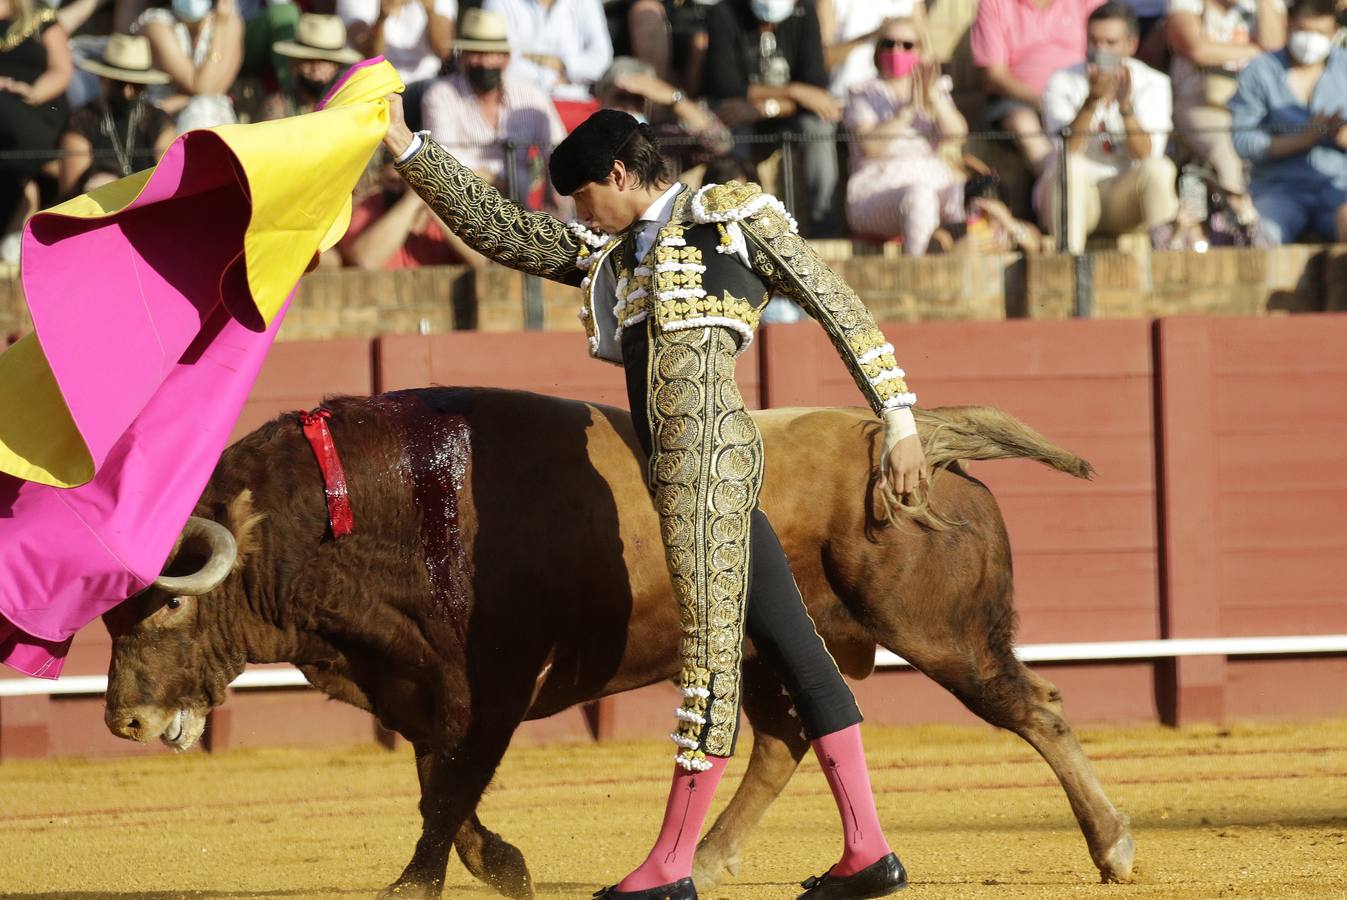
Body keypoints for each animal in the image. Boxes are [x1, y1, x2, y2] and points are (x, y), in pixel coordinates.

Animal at [102, 388, 1136, 900]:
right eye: (111, 613)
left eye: (166, 611)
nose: (123, 721)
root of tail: (906, 444)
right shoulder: (420, 684)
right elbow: (441, 787)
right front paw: (502, 868)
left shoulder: (490, 684)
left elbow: (451, 789)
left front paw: (419, 883)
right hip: (773, 648)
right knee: (787, 735)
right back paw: (704, 863)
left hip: (941, 634)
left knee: (1034, 710)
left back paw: (1114, 847)